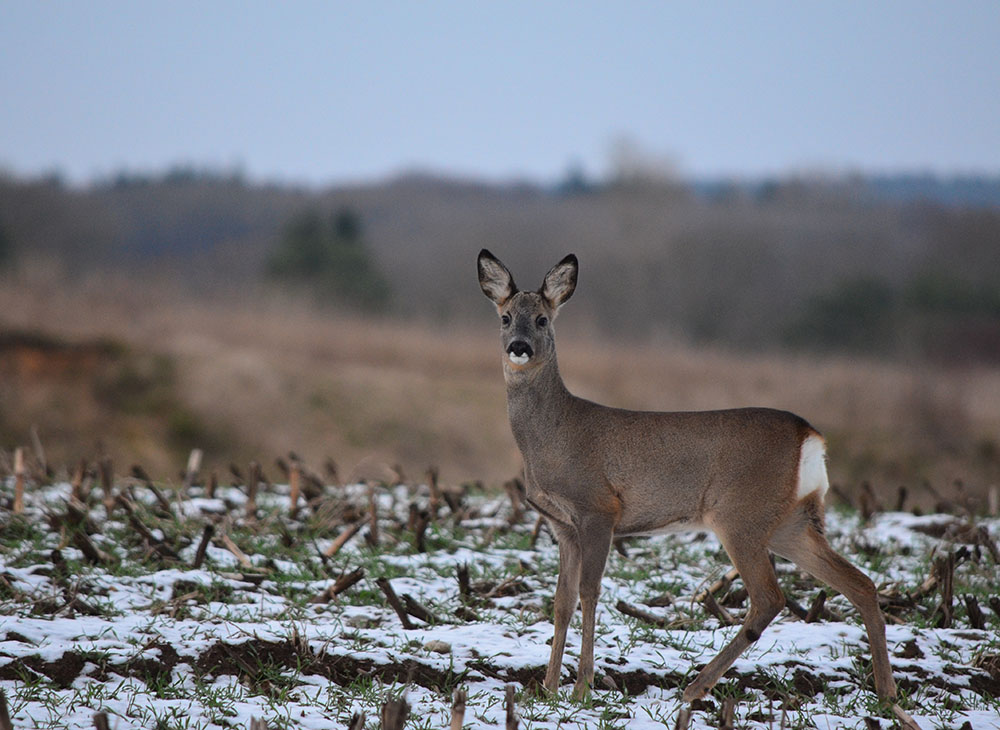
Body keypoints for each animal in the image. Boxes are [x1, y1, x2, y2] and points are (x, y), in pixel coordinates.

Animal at [476, 247, 900, 704]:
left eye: (542, 319)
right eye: (505, 317)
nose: (519, 347)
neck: (554, 435)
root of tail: (810, 435)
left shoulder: (599, 509)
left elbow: (589, 593)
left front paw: (581, 688)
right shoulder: (561, 525)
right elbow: (562, 600)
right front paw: (548, 688)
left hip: (740, 513)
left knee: (770, 597)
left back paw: (696, 686)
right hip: (790, 520)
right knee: (861, 583)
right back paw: (887, 692)